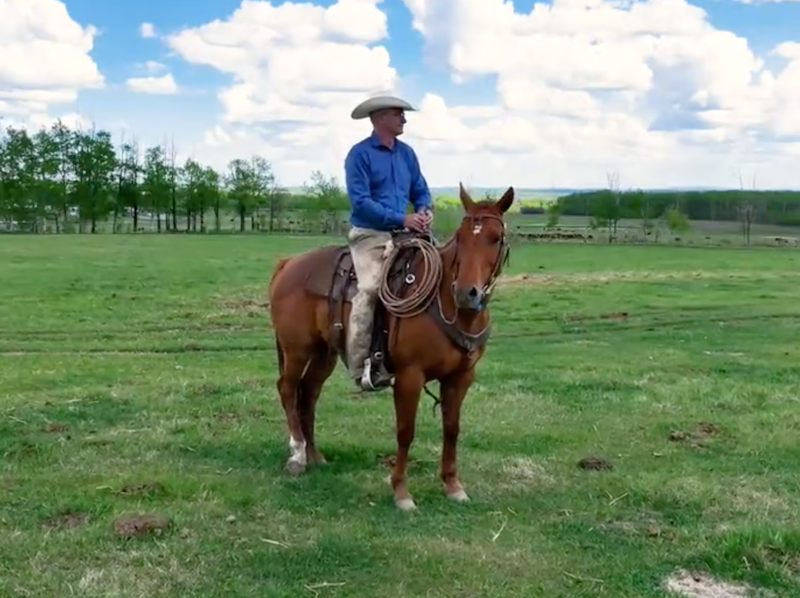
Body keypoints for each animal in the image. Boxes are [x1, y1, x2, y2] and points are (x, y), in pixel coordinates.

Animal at [268, 184, 516, 510]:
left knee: (308, 394)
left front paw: (453, 486)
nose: (466, 292)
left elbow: (452, 428)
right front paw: (401, 493)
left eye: (495, 237)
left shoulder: (461, 377)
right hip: (297, 349)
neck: (446, 304)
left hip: (324, 353)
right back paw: (297, 455)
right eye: (461, 237)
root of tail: (288, 263)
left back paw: (315, 456)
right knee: (287, 389)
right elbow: (405, 431)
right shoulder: (410, 376)